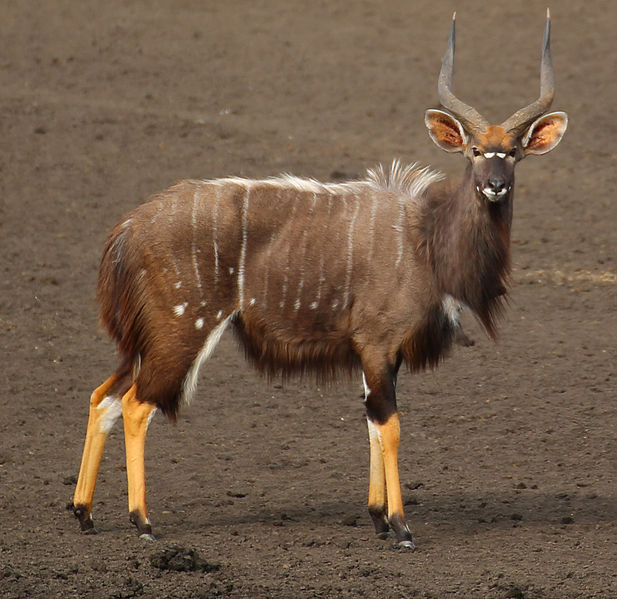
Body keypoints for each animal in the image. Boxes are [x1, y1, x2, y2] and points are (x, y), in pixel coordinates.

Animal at [70, 12, 564, 548]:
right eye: (475, 150)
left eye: (513, 152)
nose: (494, 185)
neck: (426, 239)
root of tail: (127, 229)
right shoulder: (377, 344)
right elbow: (390, 425)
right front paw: (400, 527)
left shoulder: (381, 354)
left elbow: (371, 422)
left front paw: (376, 517)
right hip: (181, 329)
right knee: (136, 403)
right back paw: (142, 521)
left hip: (146, 338)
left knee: (103, 396)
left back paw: (84, 513)